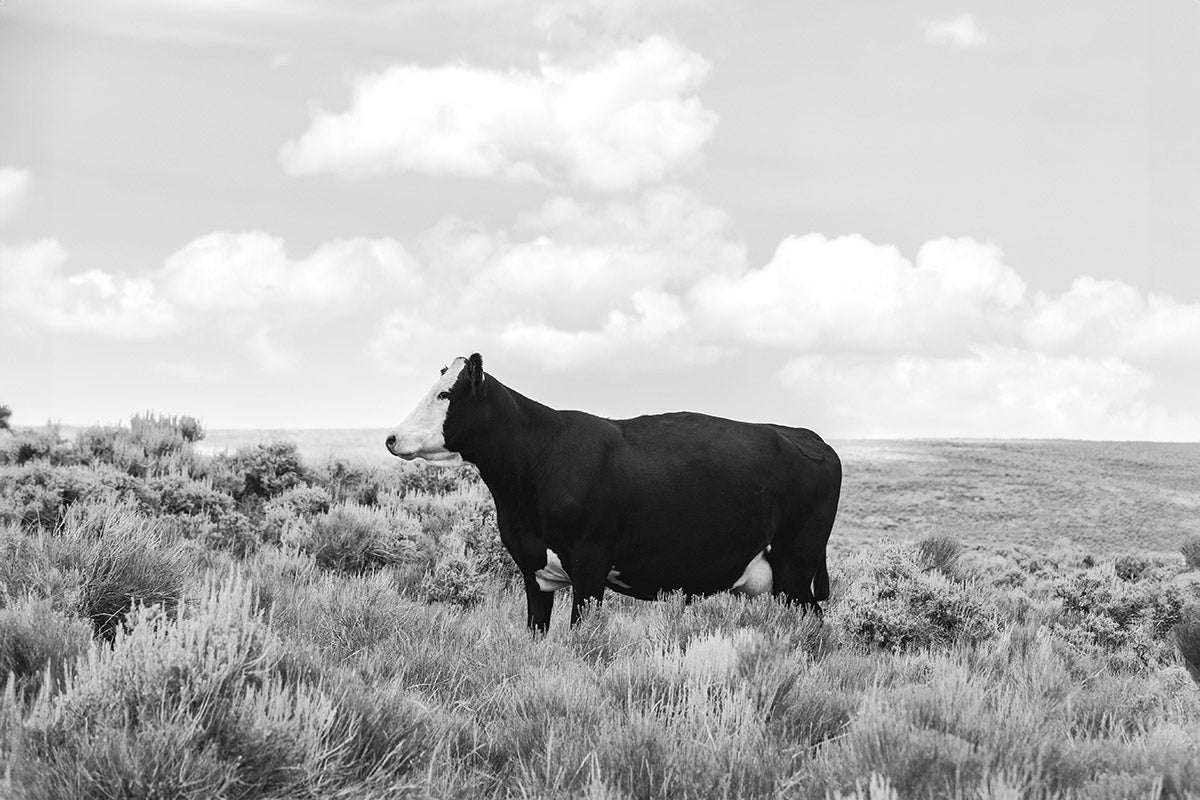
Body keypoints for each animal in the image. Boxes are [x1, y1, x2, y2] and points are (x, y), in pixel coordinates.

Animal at [386, 355, 844, 633]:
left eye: (445, 393)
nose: (391, 437)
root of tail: (807, 436)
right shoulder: (533, 570)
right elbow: (536, 632)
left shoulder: (591, 563)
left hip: (796, 564)